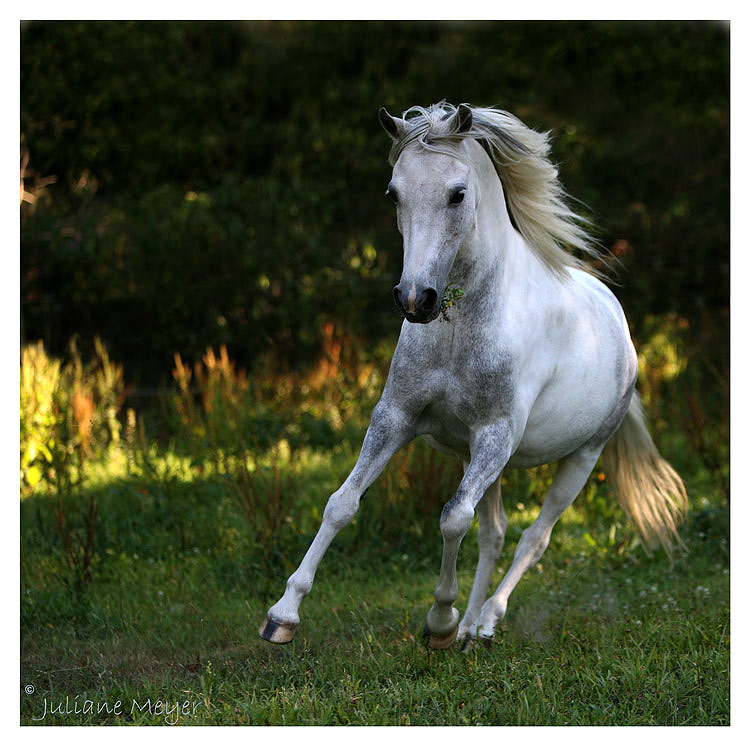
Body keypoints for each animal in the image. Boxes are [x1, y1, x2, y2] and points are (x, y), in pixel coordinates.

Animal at [262, 103, 692, 644]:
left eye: (457, 193)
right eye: (393, 192)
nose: (415, 299)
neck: (459, 327)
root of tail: (621, 328)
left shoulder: (494, 434)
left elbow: (452, 519)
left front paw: (439, 620)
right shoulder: (397, 417)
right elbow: (342, 503)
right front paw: (282, 615)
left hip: (578, 457)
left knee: (534, 537)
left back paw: (483, 621)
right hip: (485, 459)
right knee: (495, 532)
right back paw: (468, 629)